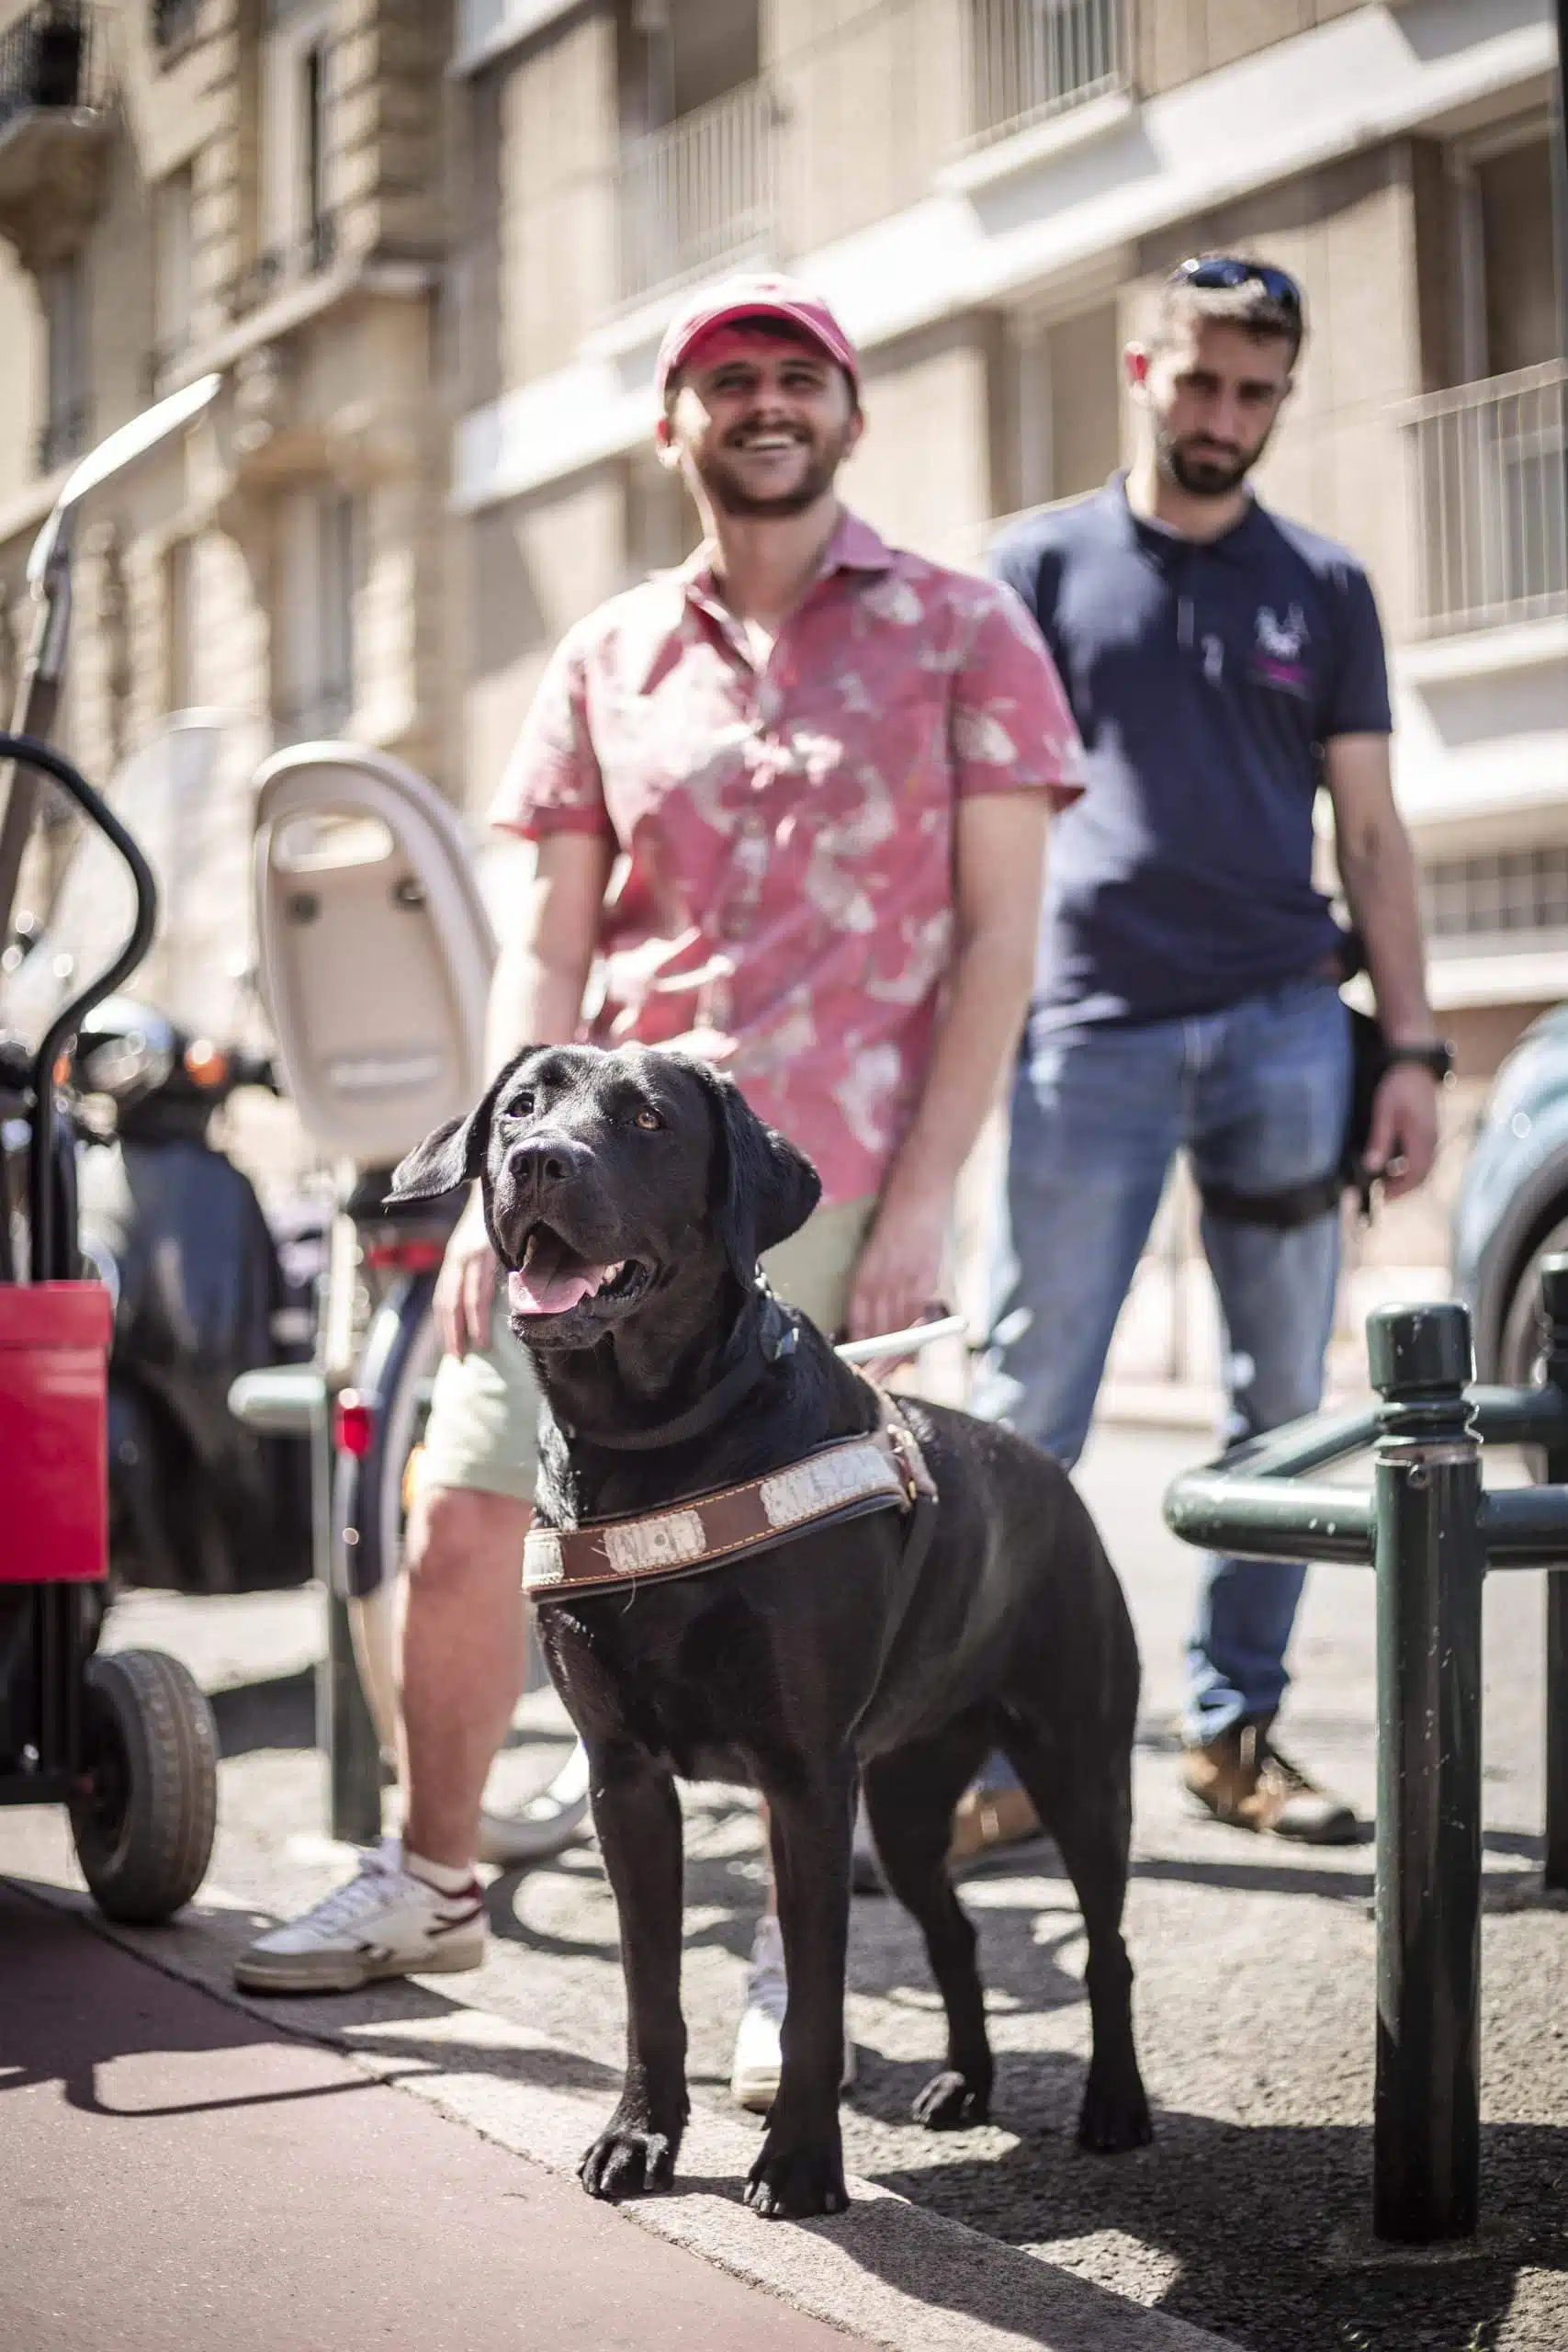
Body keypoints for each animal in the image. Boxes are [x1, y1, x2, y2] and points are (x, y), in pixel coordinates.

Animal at [392, 1039, 1152, 2211]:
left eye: (649, 1120)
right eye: (519, 1107)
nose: (539, 1161)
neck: (654, 1448)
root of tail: (1052, 1474)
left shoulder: (804, 1781)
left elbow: (812, 1995)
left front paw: (797, 2161)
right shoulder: (623, 1777)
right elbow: (649, 1985)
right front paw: (639, 2135)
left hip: (1076, 1767)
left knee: (1106, 1944)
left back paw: (1114, 2103)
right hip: (907, 1802)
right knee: (957, 1933)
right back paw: (965, 2083)